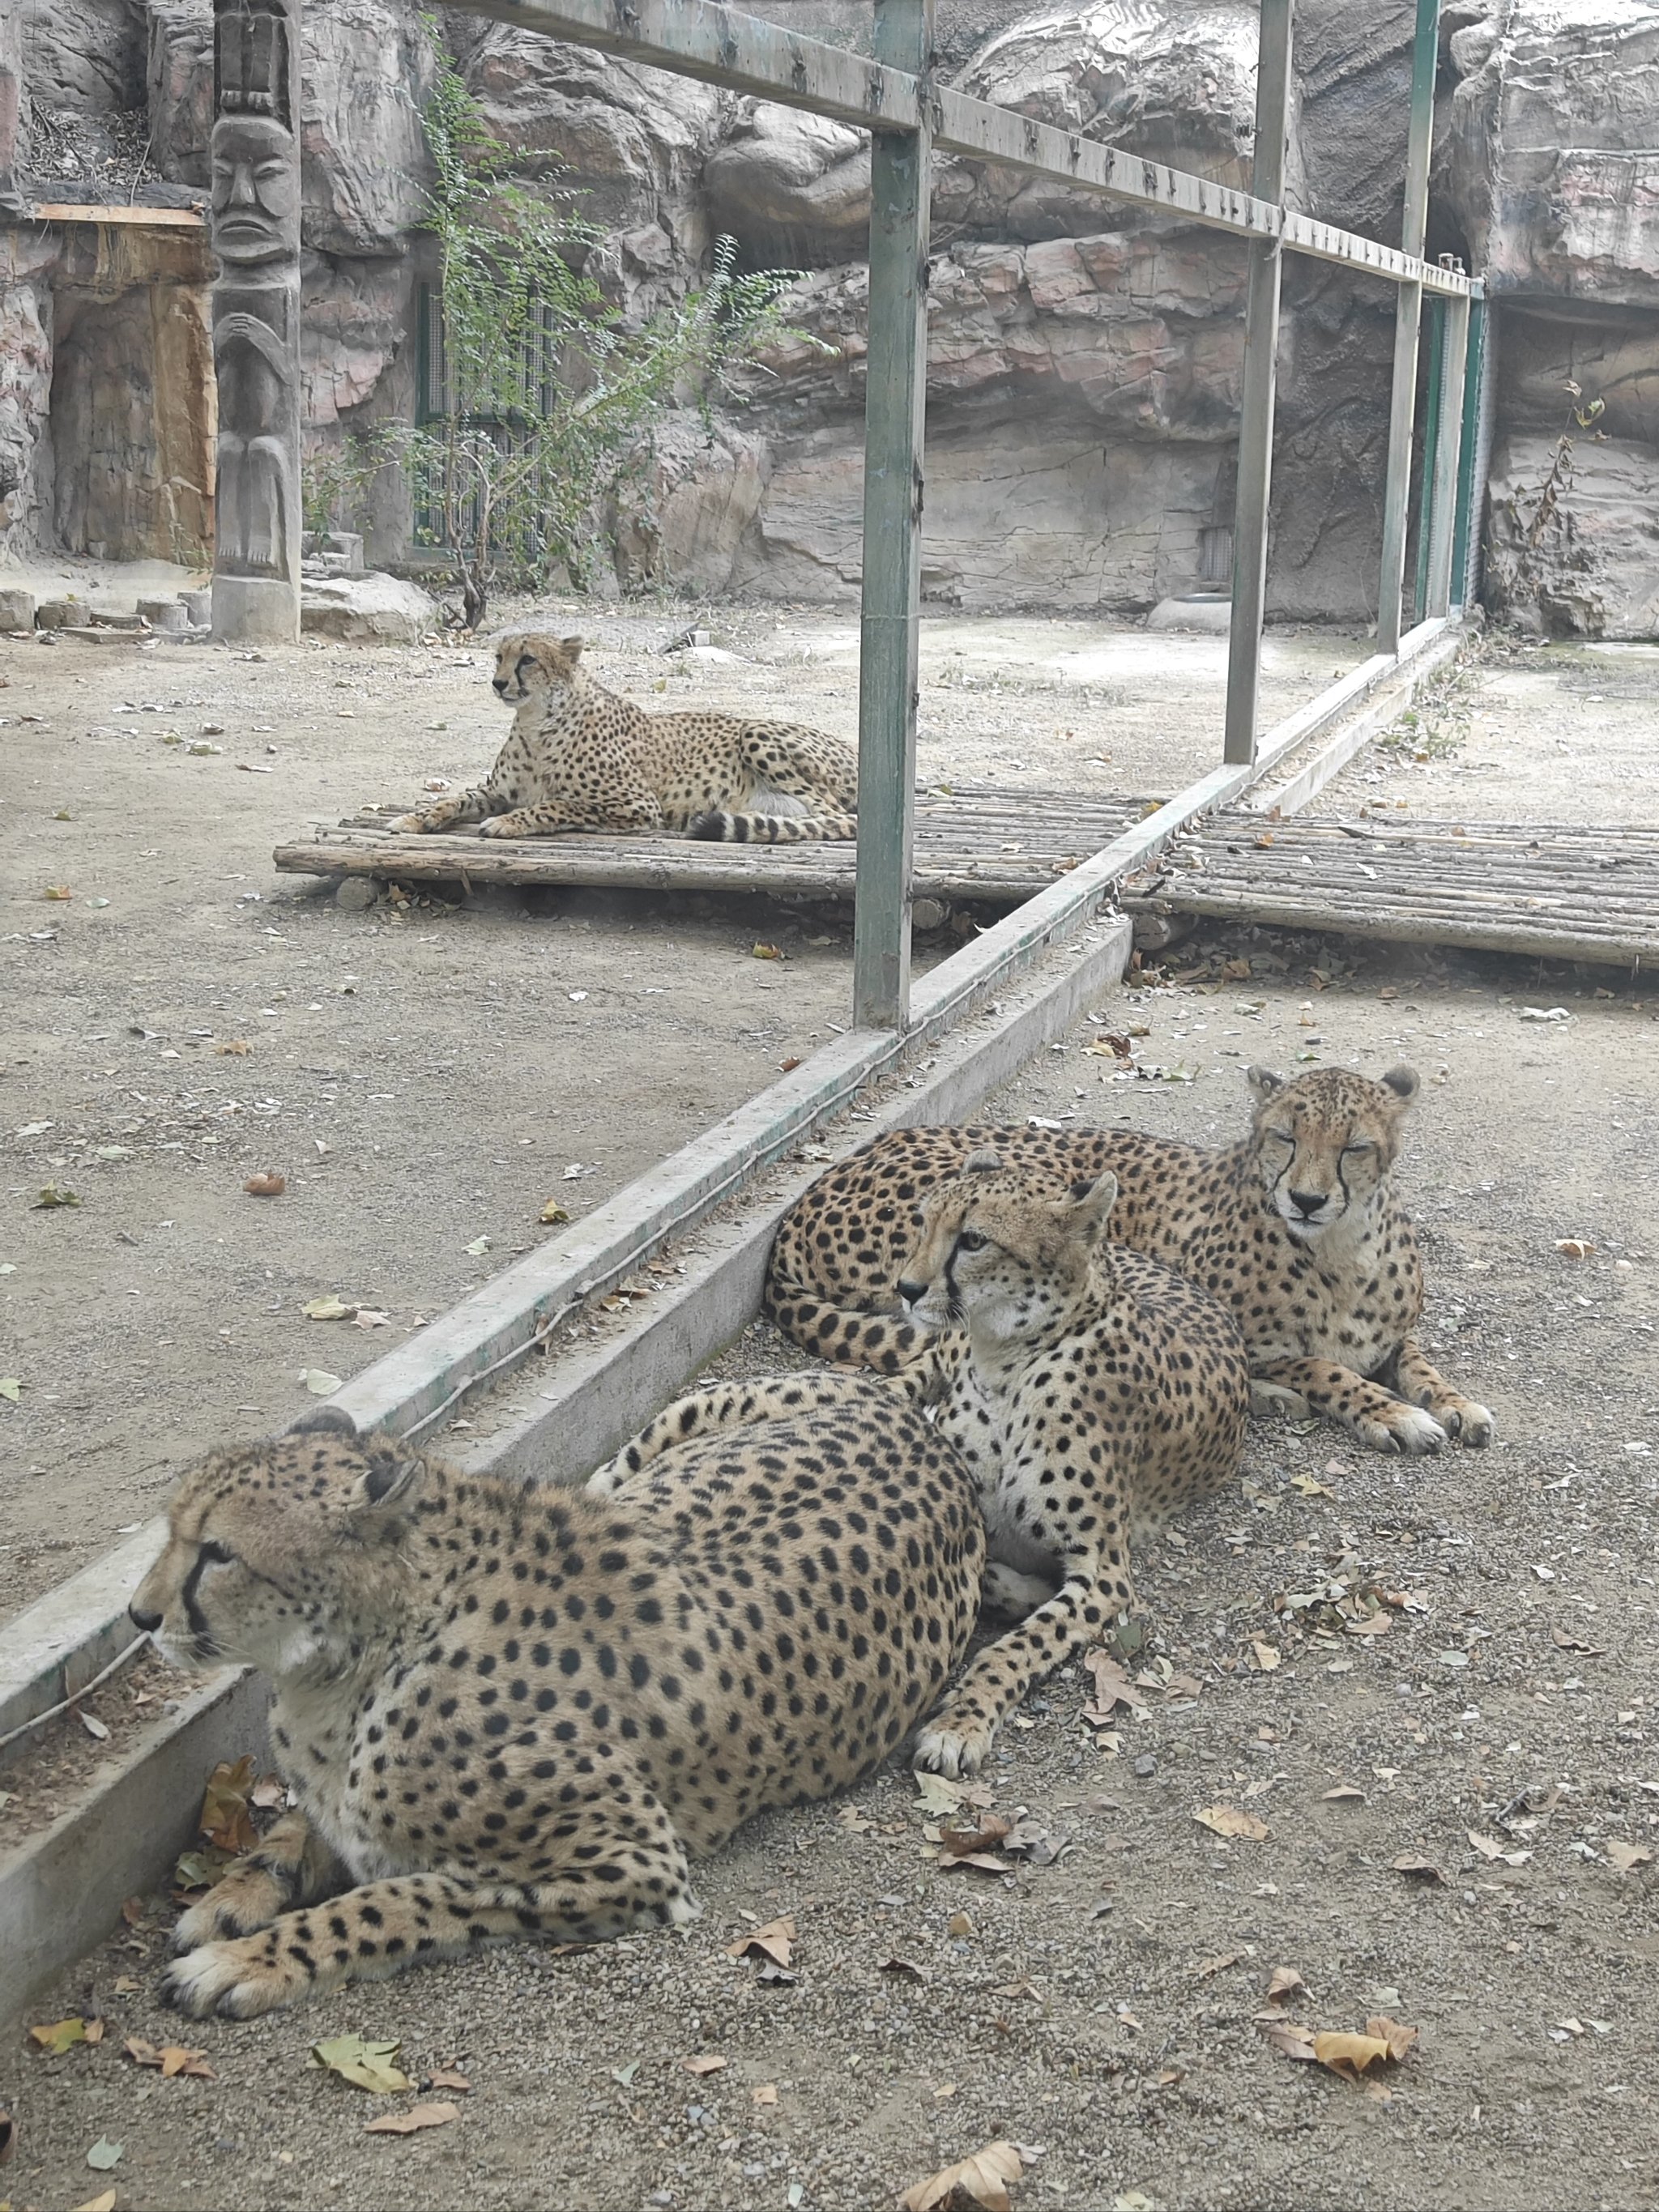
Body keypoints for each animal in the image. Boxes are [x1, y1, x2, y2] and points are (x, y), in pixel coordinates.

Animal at [136, 1397, 986, 2026]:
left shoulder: (635, 1860)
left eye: (218, 1553)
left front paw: (247, 1958)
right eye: (172, 1529)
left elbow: (393, 1898)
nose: (141, 1615)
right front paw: (230, 1897)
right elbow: (297, 1826)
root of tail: (921, 1425)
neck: (361, 1654)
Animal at [389, 641, 858, 854]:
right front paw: (415, 818)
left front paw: (509, 823)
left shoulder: (639, 806)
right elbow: (453, 800)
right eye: (498, 657)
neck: (537, 721)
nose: (498, 683)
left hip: (756, 732)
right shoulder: (495, 791)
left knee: (837, 818)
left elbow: (559, 804)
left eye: (528, 659)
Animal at [765, 1061, 1495, 1460]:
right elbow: (1320, 1364)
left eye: (1355, 1147)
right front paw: (1391, 1412)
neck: (1341, 1252)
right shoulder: (1239, 1331)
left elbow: (1417, 1359)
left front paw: (1456, 1403)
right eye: (1286, 1136)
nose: (1308, 1198)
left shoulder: (1390, 1331)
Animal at [898, 1159, 1247, 1778]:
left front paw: (959, 1723)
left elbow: (1018, 1645)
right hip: (937, 1354)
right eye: (923, 1222)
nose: (906, 1289)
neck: (1006, 1364)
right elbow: (983, 1569)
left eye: (973, 1240)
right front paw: (1022, 1590)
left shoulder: (1104, 1573)